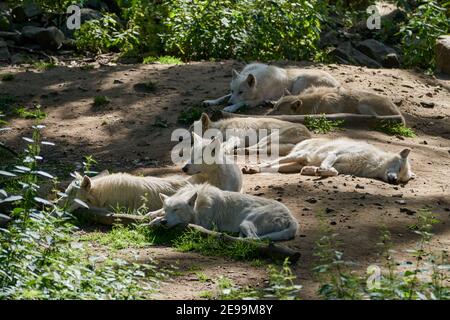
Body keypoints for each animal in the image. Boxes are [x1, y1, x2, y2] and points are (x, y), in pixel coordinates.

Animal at [148, 182, 298, 240]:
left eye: (176, 210)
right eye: (167, 210)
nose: (164, 222)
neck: (199, 204)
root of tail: (292, 218)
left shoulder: (202, 223)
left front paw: (155, 221)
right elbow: (154, 213)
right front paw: (152, 217)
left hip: (246, 222)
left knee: (253, 239)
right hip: (244, 225)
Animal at [202, 62, 340, 112]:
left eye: (241, 92)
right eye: (233, 90)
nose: (230, 103)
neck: (258, 83)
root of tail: (337, 83)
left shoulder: (256, 100)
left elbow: (241, 103)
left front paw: (230, 108)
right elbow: (223, 96)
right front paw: (210, 101)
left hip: (300, 80)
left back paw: (271, 102)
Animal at [244, 138, 416, 185]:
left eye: (402, 180)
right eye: (399, 168)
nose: (394, 180)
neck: (373, 163)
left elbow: (335, 172)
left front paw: (314, 171)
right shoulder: (334, 154)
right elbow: (331, 168)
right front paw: (320, 170)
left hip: (293, 165)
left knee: (276, 167)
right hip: (297, 155)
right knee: (269, 163)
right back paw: (251, 168)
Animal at [270, 86, 404, 124]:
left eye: (278, 110)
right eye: (274, 107)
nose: (268, 114)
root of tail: (400, 115)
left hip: (362, 103)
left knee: (373, 117)